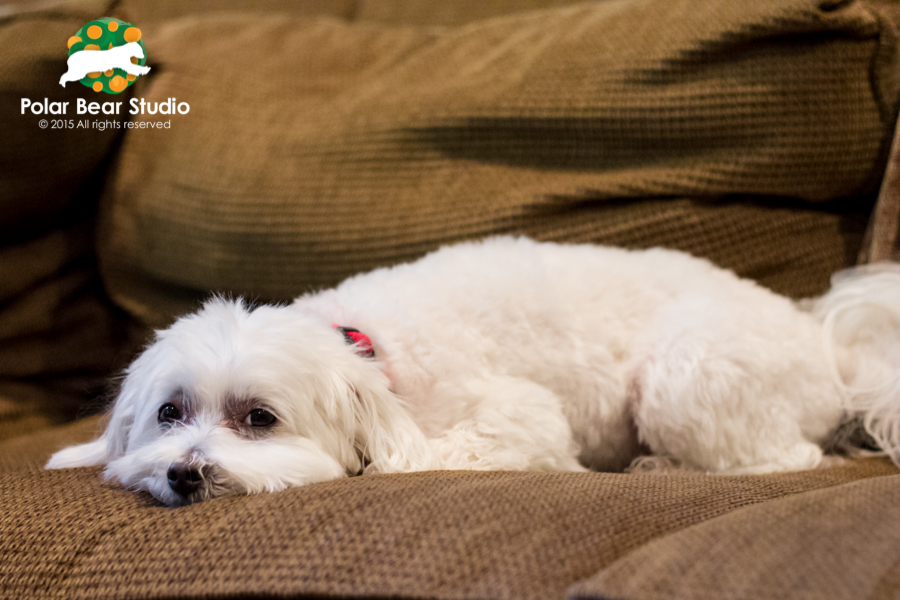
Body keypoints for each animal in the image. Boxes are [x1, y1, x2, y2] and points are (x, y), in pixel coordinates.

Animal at [44, 237, 900, 504]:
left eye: (259, 418)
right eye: (169, 413)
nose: (184, 474)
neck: (365, 349)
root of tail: (826, 344)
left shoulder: (519, 416)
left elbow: (422, 455)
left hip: (684, 374)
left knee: (790, 456)